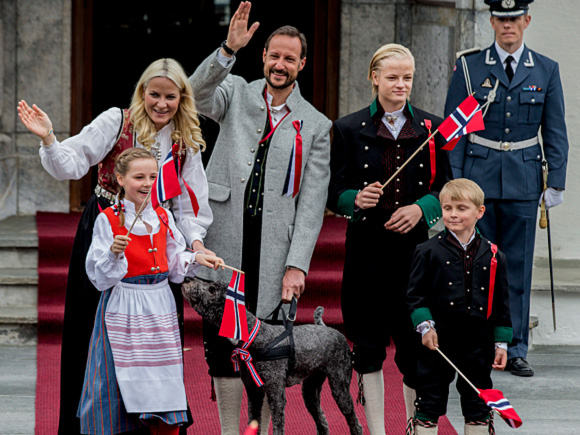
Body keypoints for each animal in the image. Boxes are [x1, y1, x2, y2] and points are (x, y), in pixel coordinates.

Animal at [182, 278, 363, 435]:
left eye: (212, 289)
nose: (187, 279)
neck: (255, 338)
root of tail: (328, 328)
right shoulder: (253, 392)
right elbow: (254, 422)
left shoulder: (275, 392)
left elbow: (277, 426)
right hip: (310, 389)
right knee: (322, 421)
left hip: (339, 385)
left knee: (354, 422)